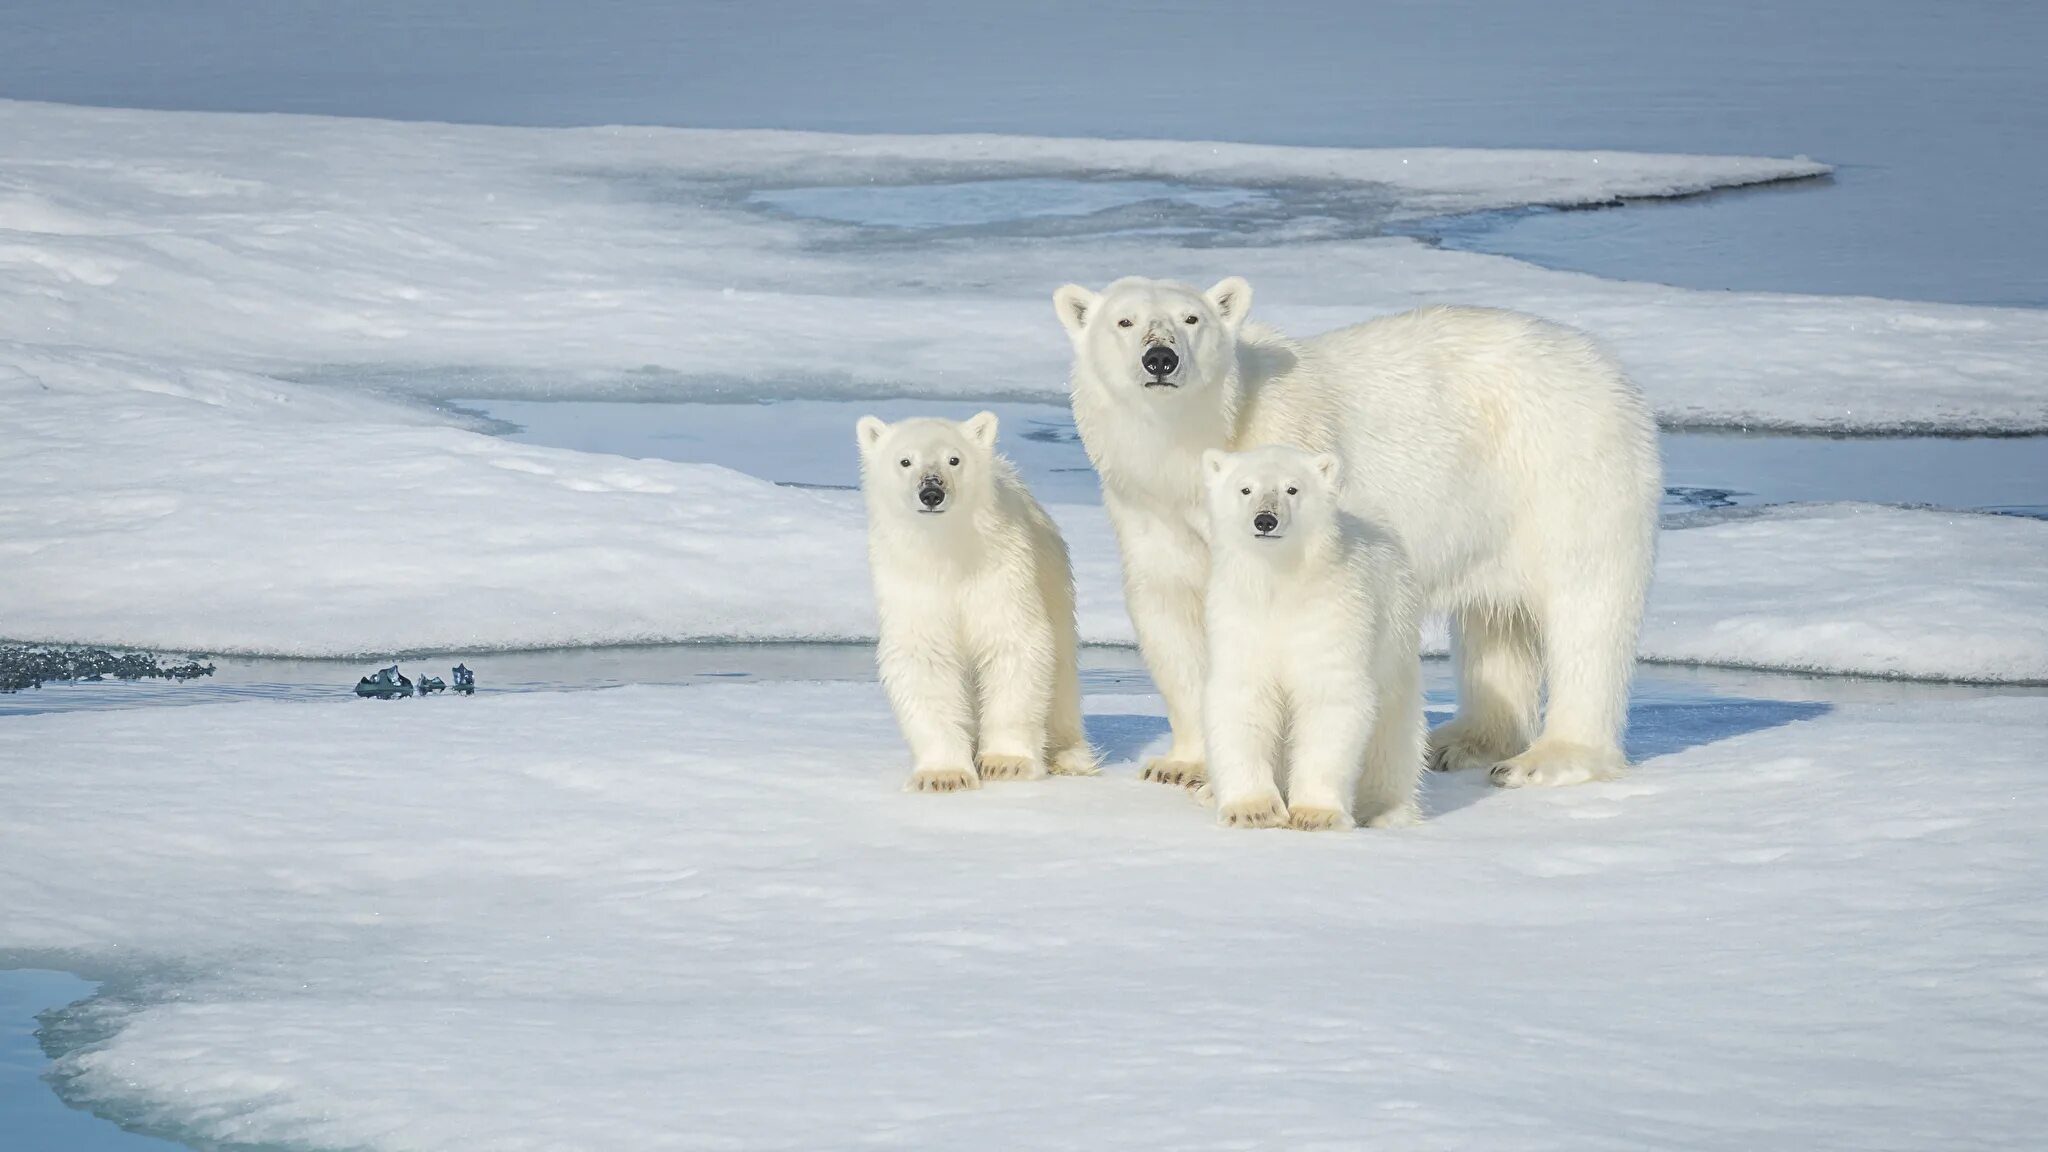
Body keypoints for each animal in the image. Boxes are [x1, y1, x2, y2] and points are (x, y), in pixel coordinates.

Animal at [851, 409, 1097, 787]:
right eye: (905, 460)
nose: (932, 492)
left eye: (954, 459)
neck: (949, 551)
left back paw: (1068, 756)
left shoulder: (1000, 574)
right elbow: (926, 660)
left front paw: (1005, 763)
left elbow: (1013, 645)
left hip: (1054, 580)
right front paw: (942, 775)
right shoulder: (910, 585)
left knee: (1062, 675)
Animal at [1056, 272, 1662, 783]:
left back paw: (1548, 758)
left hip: (1566, 470)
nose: (1160, 358)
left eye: (1191, 319)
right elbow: (1172, 611)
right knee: (1495, 622)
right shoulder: (1149, 509)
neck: (1197, 445)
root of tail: (1608, 369)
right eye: (1124, 321)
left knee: (1587, 608)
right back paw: (1463, 740)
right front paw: (1181, 765)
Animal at [1196, 444, 1425, 828]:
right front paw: (1254, 809)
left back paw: (1386, 809)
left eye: (1292, 488)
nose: (1265, 520)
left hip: (1398, 645)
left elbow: (1328, 697)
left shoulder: (1332, 612)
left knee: (1394, 736)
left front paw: (1316, 814)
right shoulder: (1240, 615)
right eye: (1245, 488)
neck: (1281, 582)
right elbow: (1243, 696)